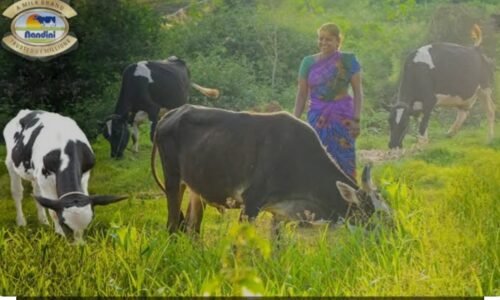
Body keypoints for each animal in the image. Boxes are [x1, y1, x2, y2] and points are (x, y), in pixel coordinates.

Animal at [3, 110, 127, 244]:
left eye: (89, 224)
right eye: (64, 224)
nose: (79, 246)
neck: (66, 146)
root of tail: (26, 111)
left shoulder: (85, 175)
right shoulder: (45, 179)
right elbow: (53, 210)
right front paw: (59, 234)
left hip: (35, 173)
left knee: (36, 193)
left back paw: (43, 221)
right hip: (11, 162)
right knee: (17, 192)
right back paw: (21, 221)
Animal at [150, 105, 392, 234]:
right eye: (378, 213)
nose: (394, 234)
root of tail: (169, 115)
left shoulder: (280, 213)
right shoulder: (251, 203)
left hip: (196, 189)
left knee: (192, 227)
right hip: (173, 180)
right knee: (172, 225)